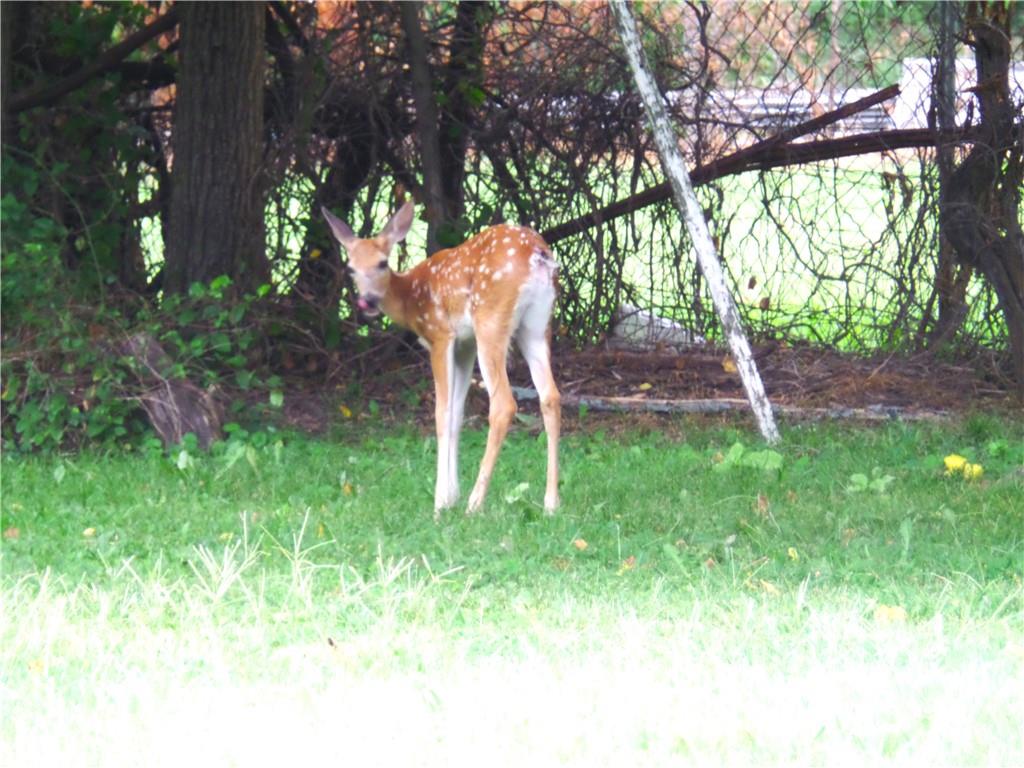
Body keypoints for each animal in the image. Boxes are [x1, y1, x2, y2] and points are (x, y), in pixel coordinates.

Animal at [322, 201, 561, 517]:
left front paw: (441, 502)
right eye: (350, 268)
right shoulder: (464, 345)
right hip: (536, 326)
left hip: (490, 320)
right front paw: (451, 496)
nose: (368, 301)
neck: (411, 298)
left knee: (503, 404)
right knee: (551, 397)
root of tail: (538, 255)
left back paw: (474, 504)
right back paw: (551, 503)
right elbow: (457, 413)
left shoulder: (440, 335)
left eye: (382, 263)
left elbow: (441, 413)